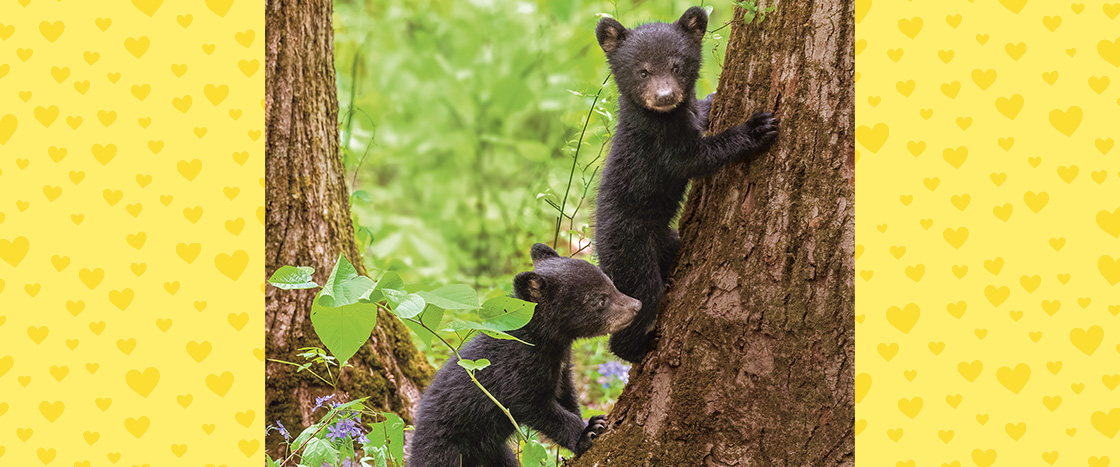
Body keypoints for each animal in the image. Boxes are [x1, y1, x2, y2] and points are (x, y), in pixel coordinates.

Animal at [408, 243, 642, 467]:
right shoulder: (517, 371)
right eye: (600, 300)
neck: (541, 341)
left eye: (611, 284)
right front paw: (588, 432)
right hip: (445, 449)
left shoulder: (561, 367)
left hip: (494, 452)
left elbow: (567, 395)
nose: (637, 306)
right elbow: (535, 405)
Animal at [593, 7, 780, 364]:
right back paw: (638, 349)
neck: (665, 117)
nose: (665, 96)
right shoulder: (661, 143)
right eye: (642, 71)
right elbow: (695, 158)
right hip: (630, 252)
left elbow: (702, 113)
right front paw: (756, 128)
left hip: (666, 240)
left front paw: (713, 97)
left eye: (677, 65)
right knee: (642, 298)